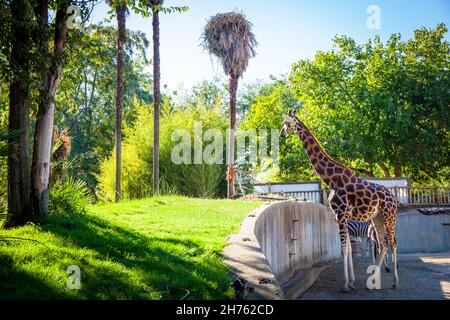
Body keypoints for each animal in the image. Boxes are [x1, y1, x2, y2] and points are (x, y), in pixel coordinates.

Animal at [280, 110, 400, 292]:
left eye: (287, 123)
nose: (281, 133)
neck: (331, 179)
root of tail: (394, 198)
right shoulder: (340, 216)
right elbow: (349, 248)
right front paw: (351, 282)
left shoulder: (341, 213)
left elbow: (344, 249)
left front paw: (345, 285)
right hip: (377, 217)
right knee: (384, 243)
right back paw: (373, 281)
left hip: (389, 216)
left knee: (392, 243)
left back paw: (394, 282)